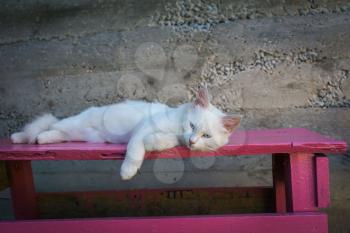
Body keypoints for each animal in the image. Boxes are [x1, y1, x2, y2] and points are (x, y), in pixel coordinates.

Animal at [10, 86, 241, 179]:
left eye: (206, 136)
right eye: (192, 126)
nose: (192, 141)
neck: (177, 124)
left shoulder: (170, 137)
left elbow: (163, 141)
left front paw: (154, 142)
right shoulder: (142, 129)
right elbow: (135, 150)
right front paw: (128, 171)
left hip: (78, 134)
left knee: (55, 132)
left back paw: (41, 140)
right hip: (73, 124)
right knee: (50, 124)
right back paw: (19, 138)